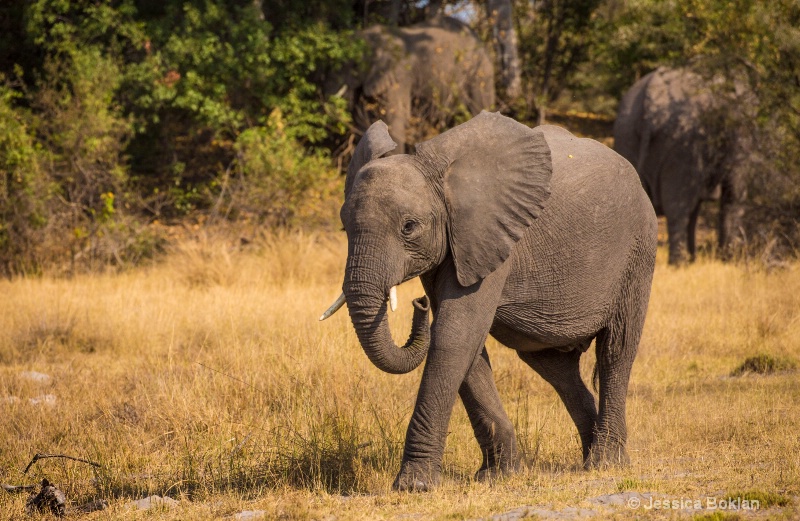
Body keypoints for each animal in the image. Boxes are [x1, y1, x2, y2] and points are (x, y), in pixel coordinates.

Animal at [318, 111, 656, 490]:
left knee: (616, 351)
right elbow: (467, 347)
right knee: (554, 366)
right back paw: (588, 455)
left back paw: (605, 463)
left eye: (409, 227)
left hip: (639, 249)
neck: (442, 178)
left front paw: (414, 486)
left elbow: (454, 335)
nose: (418, 305)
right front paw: (499, 474)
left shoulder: (490, 235)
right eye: (345, 227)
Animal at [616, 67, 752, 264]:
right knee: (678, 208)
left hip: (627, 131)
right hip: (682, 141)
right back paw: (677, 263)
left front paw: (694, 259)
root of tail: (650, 100)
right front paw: (728, 259)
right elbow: (734, 194)